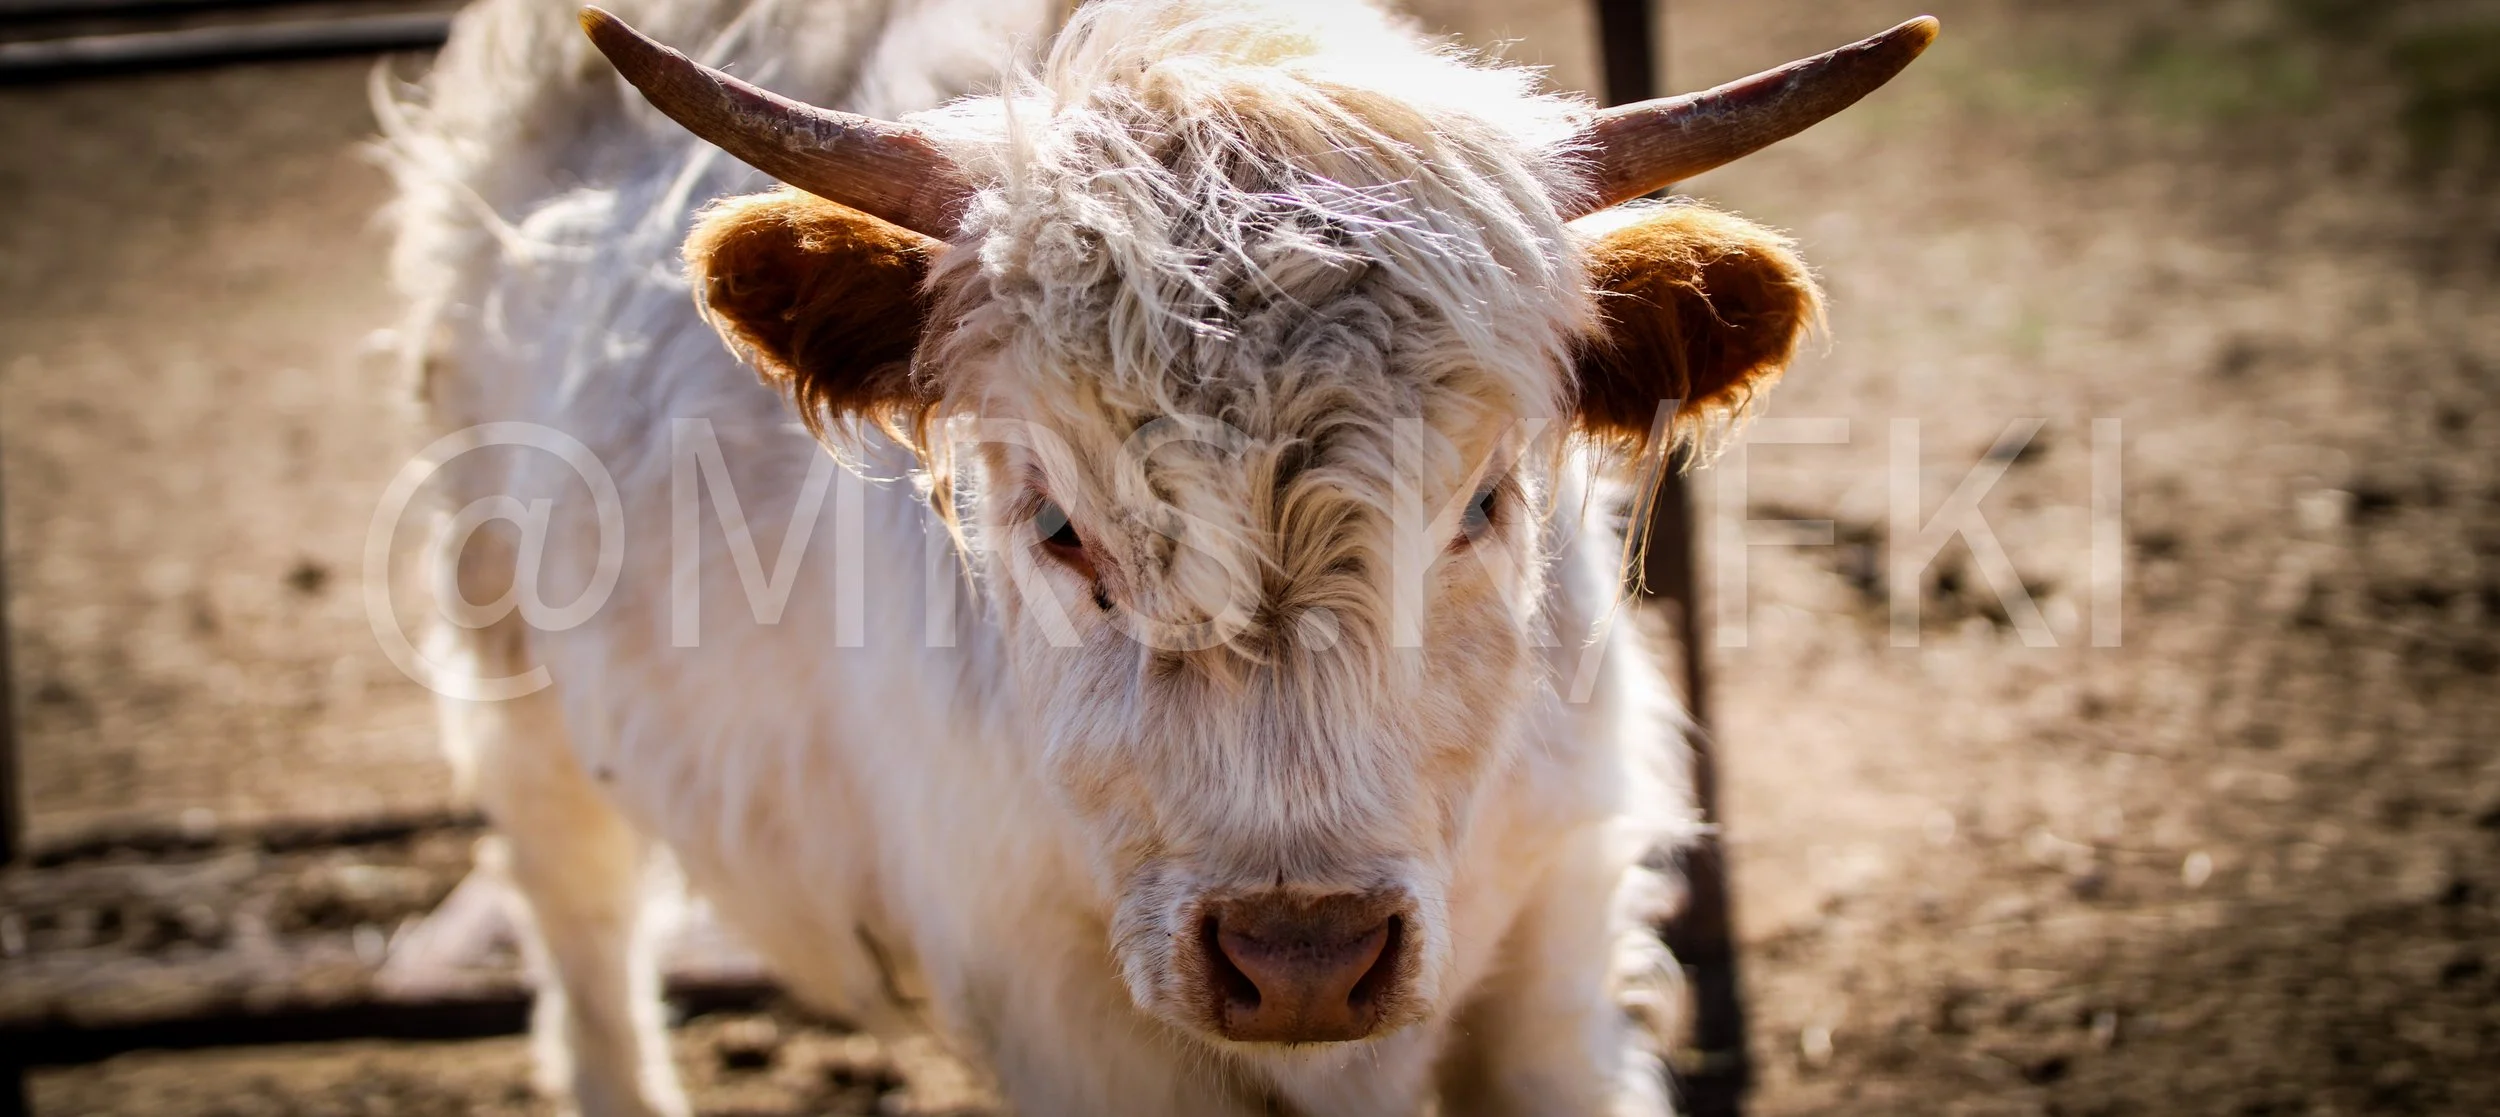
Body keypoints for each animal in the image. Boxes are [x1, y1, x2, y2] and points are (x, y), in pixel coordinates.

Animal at [374, 0, 1932, 1112]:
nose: (1303, 956)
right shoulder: (1065, 1013)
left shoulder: (1556, 945)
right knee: (579, 924)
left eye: (1484, 501)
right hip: (512, 676)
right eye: (1060, 524)